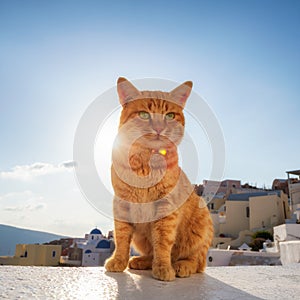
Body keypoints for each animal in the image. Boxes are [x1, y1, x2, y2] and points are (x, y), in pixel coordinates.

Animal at [105, 77, 213, 282]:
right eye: (144, 115)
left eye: (169, 116)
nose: (158, 128)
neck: (147, 164)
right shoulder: (122, 203)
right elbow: (121, 237)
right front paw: (119, 261)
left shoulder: (166, 207)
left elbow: (163, 241)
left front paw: (163, 268)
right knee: (151, 252)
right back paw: (142, 261)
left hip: (201, 224)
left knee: (197, 261)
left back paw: (181, 265)